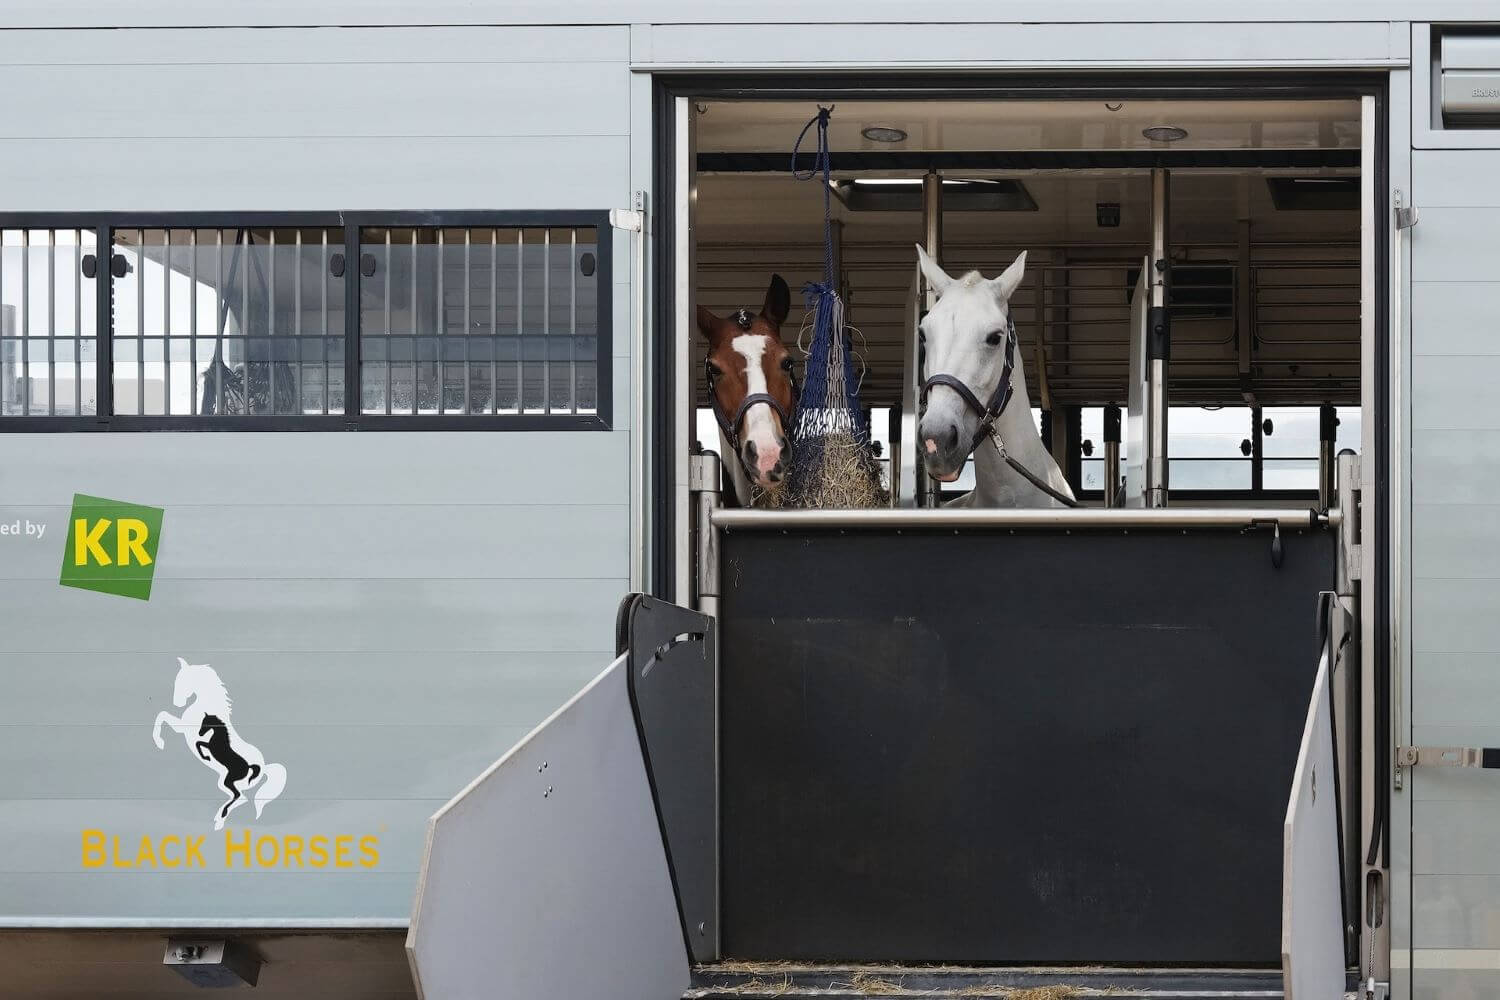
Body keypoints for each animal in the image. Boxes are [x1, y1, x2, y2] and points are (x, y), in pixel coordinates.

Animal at [153, 656, 288, 827]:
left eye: (182, 681)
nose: (177, 703)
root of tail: (261, 767)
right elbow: (164, 717)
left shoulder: (185, 729)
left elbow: (163, 716)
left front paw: (160, 742)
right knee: (240, 798)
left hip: (227, 781)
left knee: (240, 797)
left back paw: (220, 819)